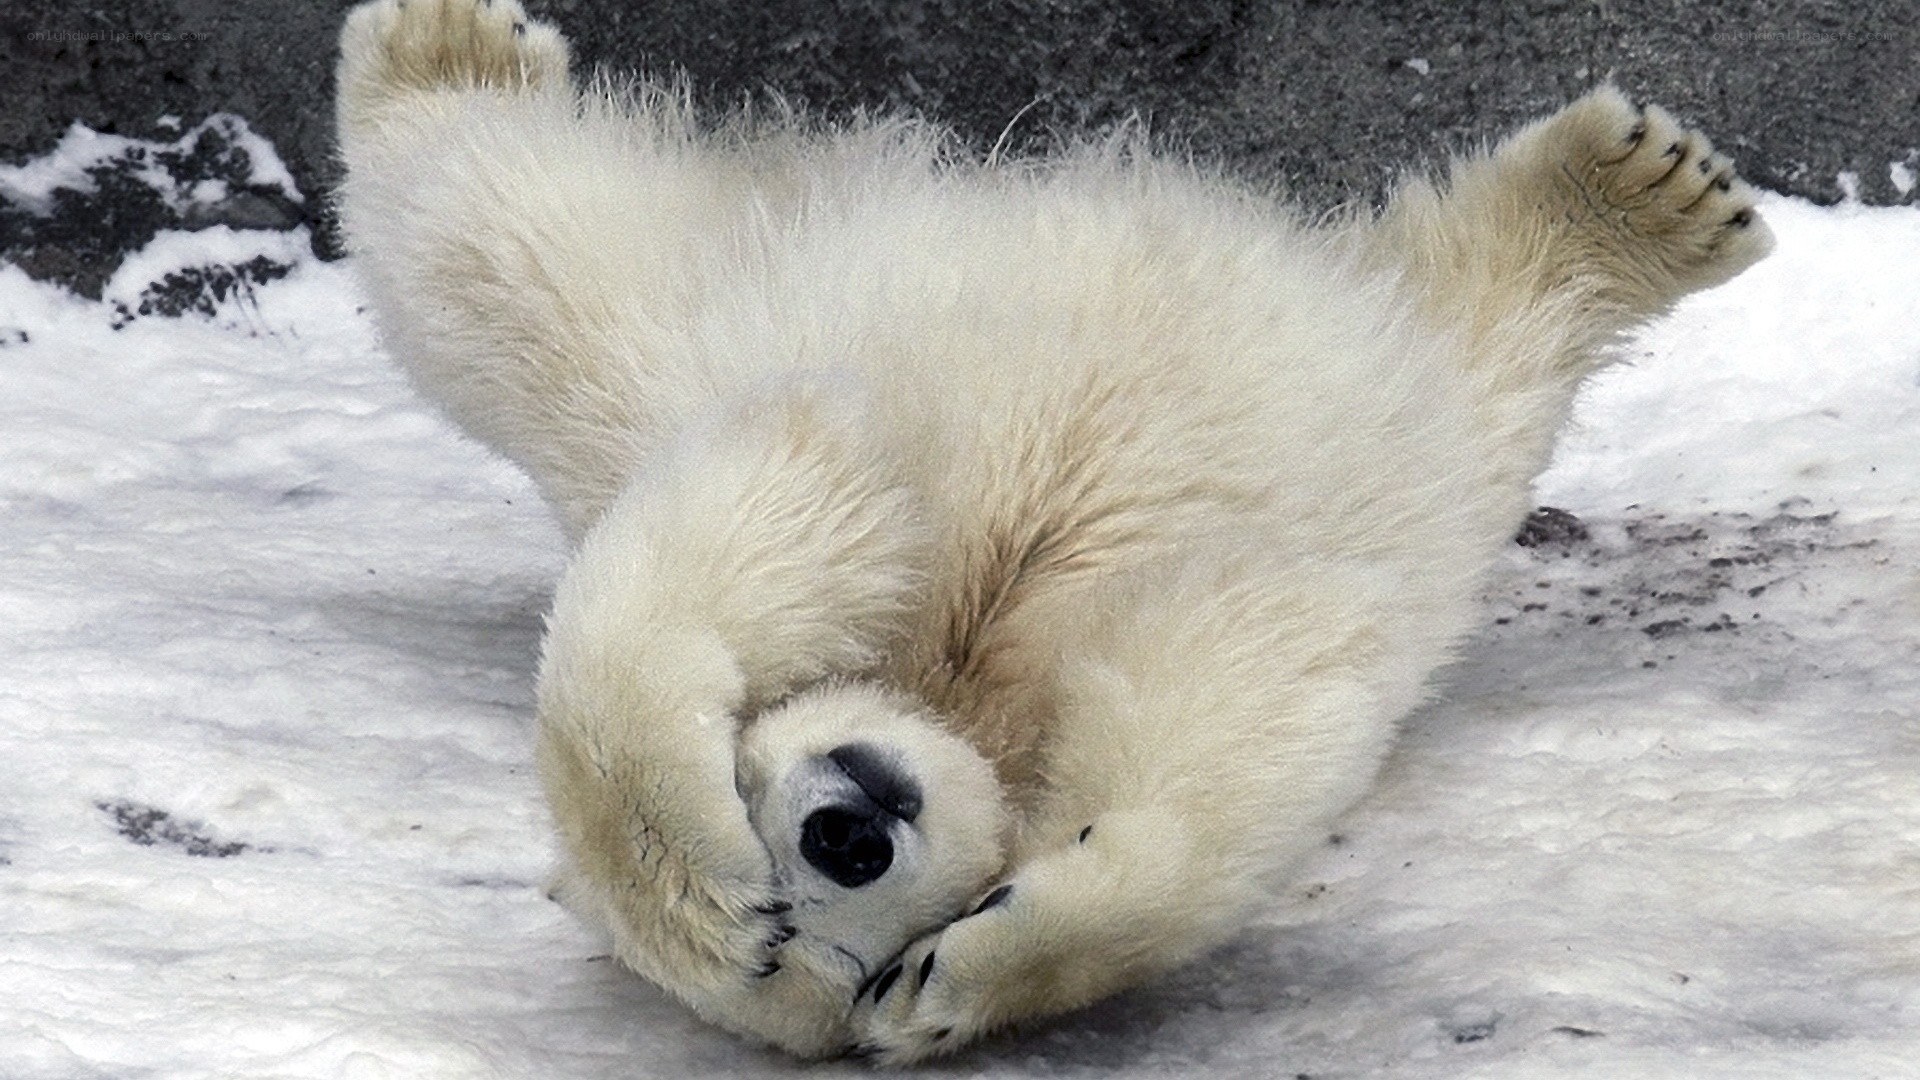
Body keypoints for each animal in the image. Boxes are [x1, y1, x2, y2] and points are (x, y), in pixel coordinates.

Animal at [335, 0, 1772, 1064]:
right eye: (824, 959)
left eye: (765, 836)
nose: (847, 828)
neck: (958, 681)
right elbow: (1230, 681)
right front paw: (990, 960)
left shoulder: (855, 487)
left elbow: (782, 515)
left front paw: (692, 867)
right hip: (1415, 450)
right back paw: (1638, 203)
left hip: (693, 330)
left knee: (515, 260)